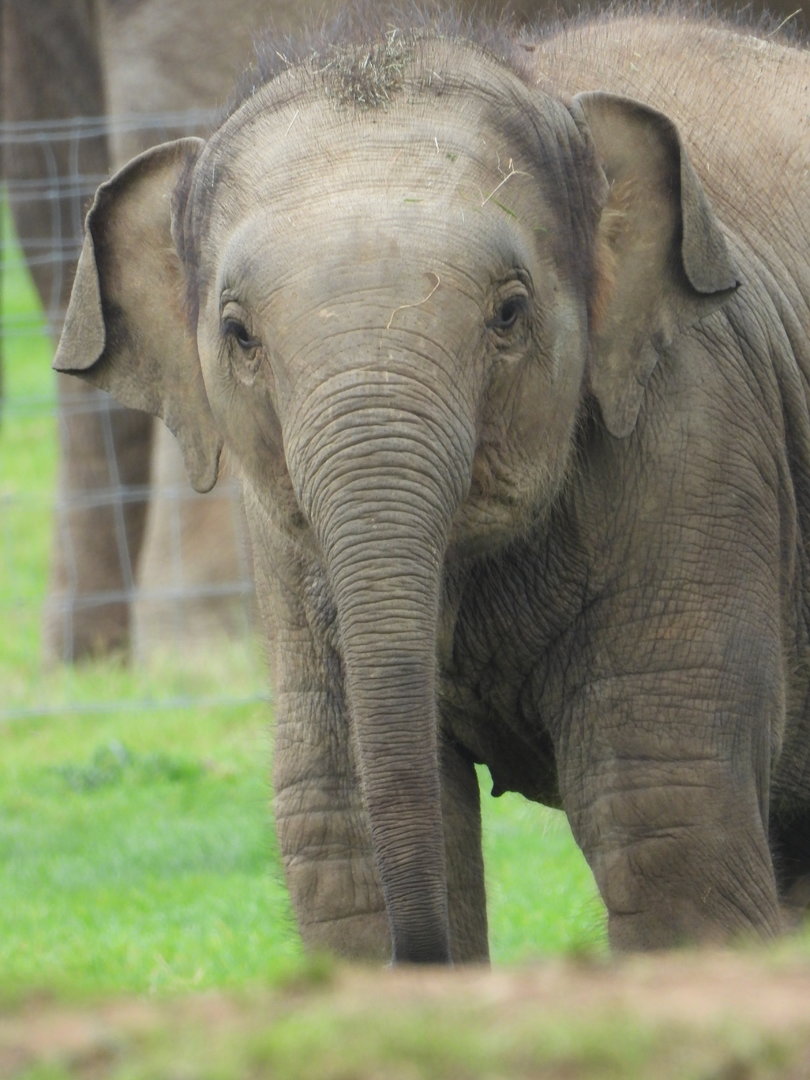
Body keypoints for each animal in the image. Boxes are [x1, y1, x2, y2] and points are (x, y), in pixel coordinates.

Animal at [52, 6, 810, 962]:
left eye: (509, 313)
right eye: (238, 333)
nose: (425, 950)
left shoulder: (698, 433)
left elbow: (667, 818)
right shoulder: (285, 544)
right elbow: (335, 832)